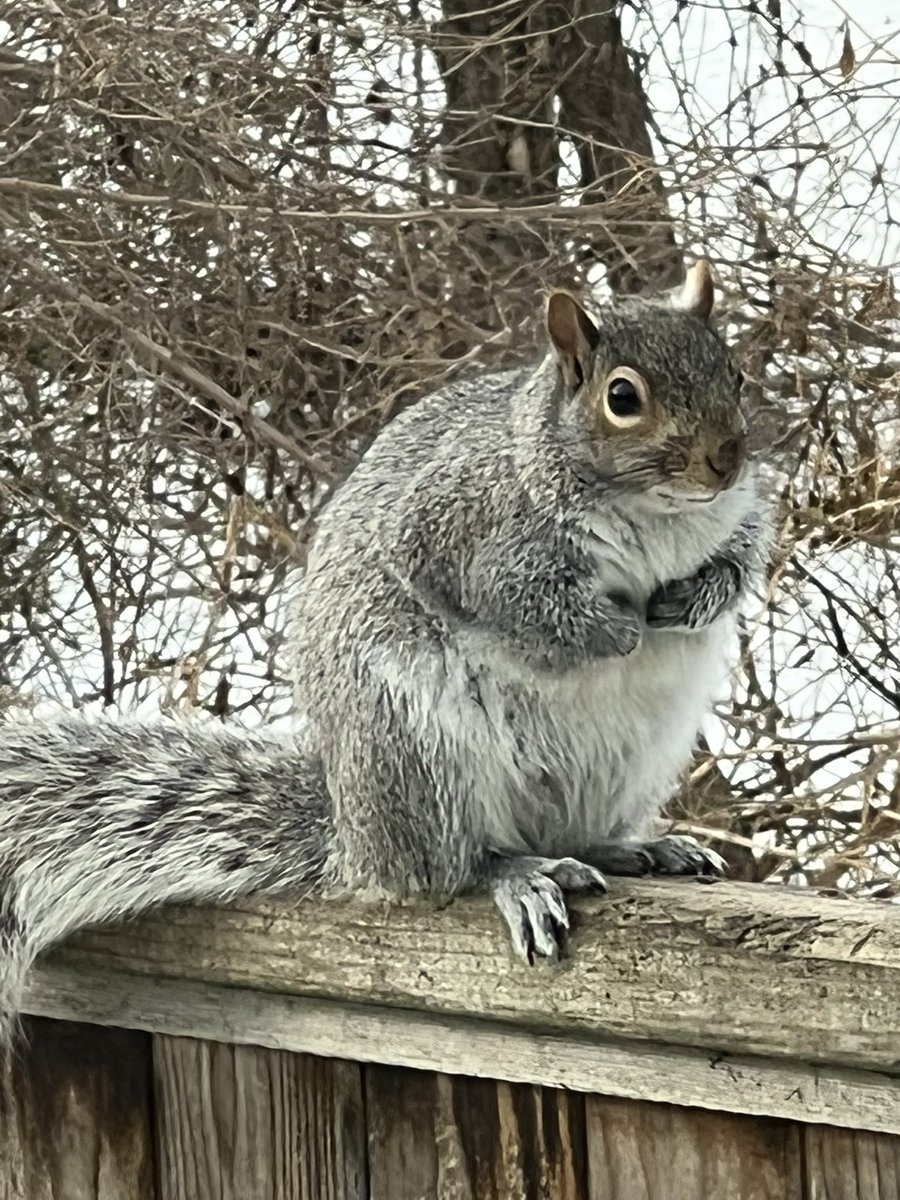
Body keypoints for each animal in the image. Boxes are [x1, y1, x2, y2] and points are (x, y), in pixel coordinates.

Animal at [0, 261, 769, 1041]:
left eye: (733, 371)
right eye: (622, 397)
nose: (726, 460)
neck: (653, 512)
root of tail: (354, 839)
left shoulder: (738, 515)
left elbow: (741, 556)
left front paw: (697, 598)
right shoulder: (462, 535)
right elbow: (521, 605)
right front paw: (619, 631)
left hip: (630, 764)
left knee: (573, 835)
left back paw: (637, 846)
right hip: (418, 754)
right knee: (447, 871)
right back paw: (519, 875)